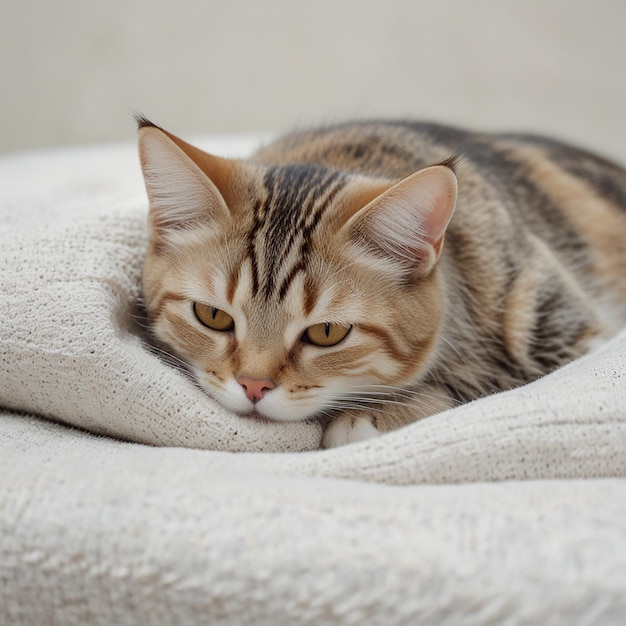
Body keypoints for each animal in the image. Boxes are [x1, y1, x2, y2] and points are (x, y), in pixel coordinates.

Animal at [136, 117, 624, 446]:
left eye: (327, 332)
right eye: (212, 315)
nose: (254, 386)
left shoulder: (573, 330)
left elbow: (489, 385)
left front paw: (372, 415)